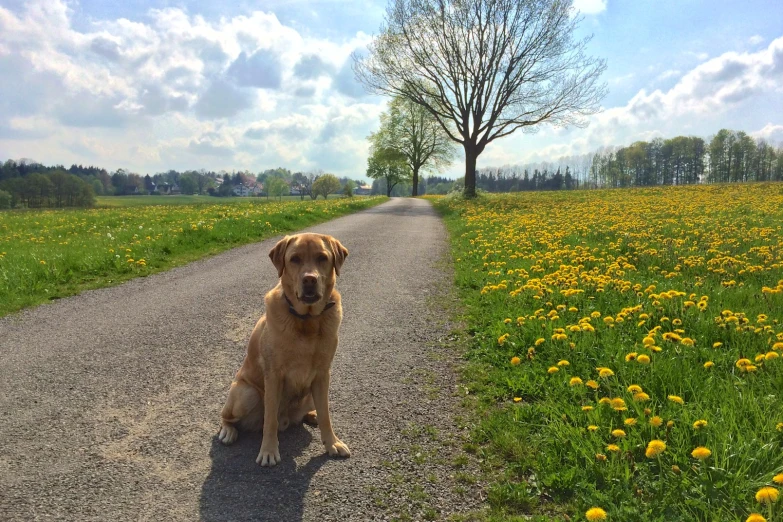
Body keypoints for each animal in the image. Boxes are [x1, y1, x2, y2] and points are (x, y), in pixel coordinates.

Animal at [220, 232, 356, 464]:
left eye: (322, 258)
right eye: (294, 259)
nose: (309, 279)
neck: (307, 320)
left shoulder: (323, 375)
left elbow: (326, 415)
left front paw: (332, 443)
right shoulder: (274, 375)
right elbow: (270, 420)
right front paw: (268, 451)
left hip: (309, 395)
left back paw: (311, 415)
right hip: (246, 393)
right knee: (227, 416)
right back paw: (228, 431)